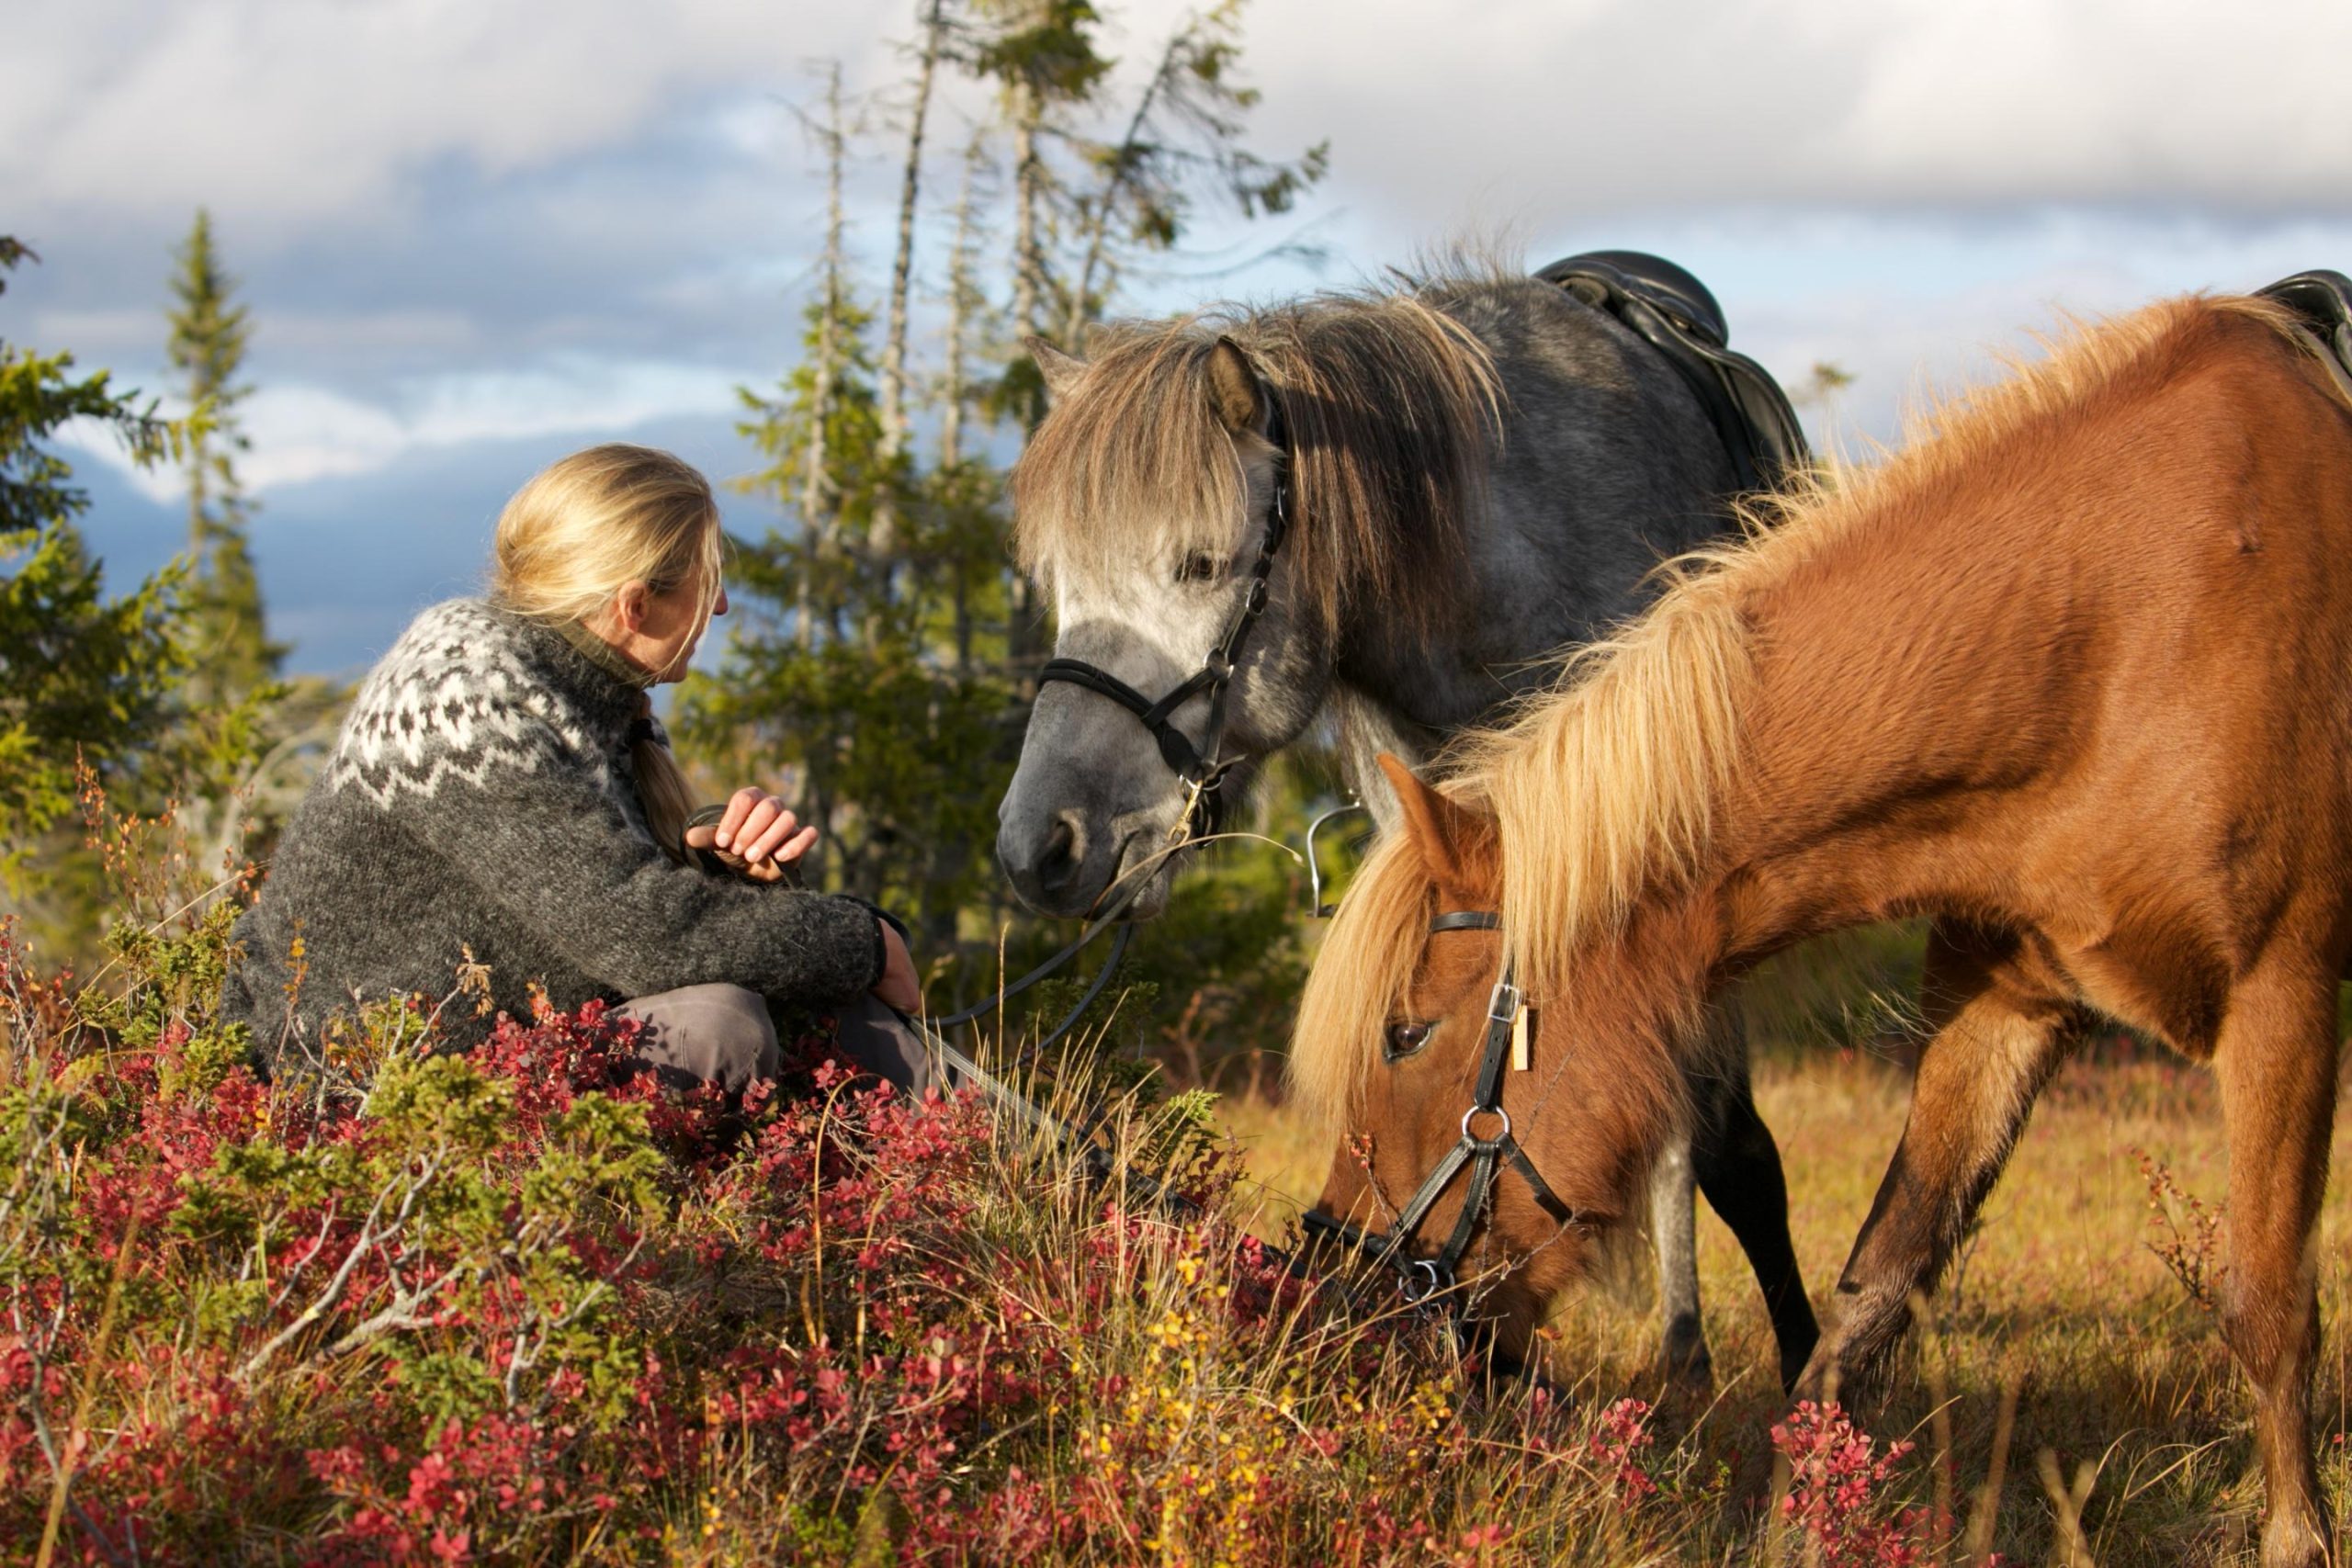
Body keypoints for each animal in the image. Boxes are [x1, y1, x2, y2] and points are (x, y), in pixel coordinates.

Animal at [993, 253, 1820, 1389]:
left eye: (1199, 566)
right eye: (1057, 581)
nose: (1041, 848)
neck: (1502, 566)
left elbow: (1725, 1149)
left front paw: (1796, 1377)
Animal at [1288, 283, 2352, 1568]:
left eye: (1404, 1034)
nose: (1331, 1300)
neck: (2131, 621)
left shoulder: (2284, 999)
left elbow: (2268, 1308)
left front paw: (2297, 1536)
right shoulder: (2006, 1007)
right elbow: (1869, 1297)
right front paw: (1797, 1525)